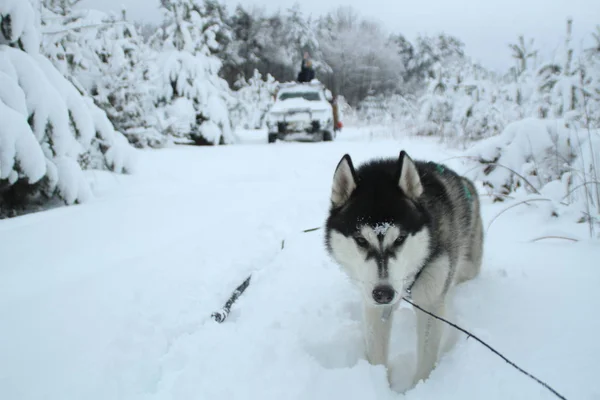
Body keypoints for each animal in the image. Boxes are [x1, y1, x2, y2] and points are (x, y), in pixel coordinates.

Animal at [324, 150, 482, 388]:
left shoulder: (430, 301)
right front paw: (379, 385)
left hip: (467, 266)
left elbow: (426, 358)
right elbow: (377, 353)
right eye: (361, 240)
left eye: (399, 239)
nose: (383, 293)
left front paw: (421, 389)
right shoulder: (373, 301)